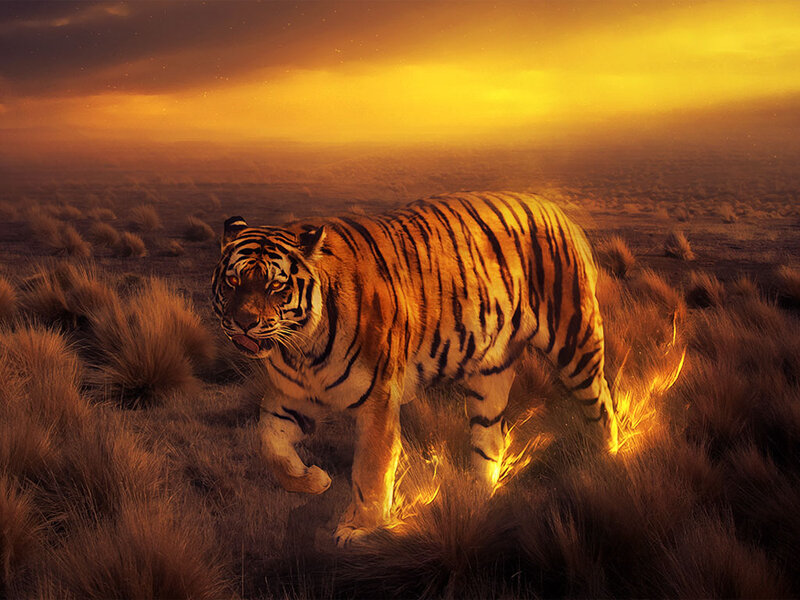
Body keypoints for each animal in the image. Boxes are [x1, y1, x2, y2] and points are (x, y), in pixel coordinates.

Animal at [212, 191, 618, 546]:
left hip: (576, 343)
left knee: (601, 406)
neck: (300, 350)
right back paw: (475, 499)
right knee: (490, 439)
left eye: (276, 286)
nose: (244, 323)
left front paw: (360, 528)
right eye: (232, 281)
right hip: (490, 373)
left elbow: (371, 468)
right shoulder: (291, 397)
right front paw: (315, 481)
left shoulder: (378, 400)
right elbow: (269, 444)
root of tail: (557, 210)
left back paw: (606, 462)